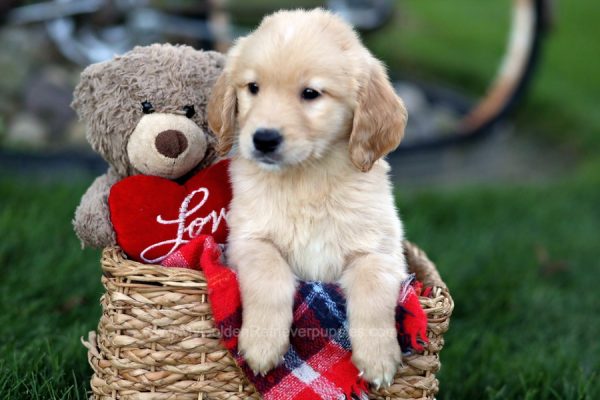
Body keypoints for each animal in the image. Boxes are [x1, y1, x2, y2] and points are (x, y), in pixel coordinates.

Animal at [206, 7, 408, 388]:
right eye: (253, 88)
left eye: (311, 93)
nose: (263, 139)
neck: (307, 178)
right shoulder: (247, 239)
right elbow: (270, 273)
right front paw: (262, 344)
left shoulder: (382, 251)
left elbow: (373, 291)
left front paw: (378, 358)